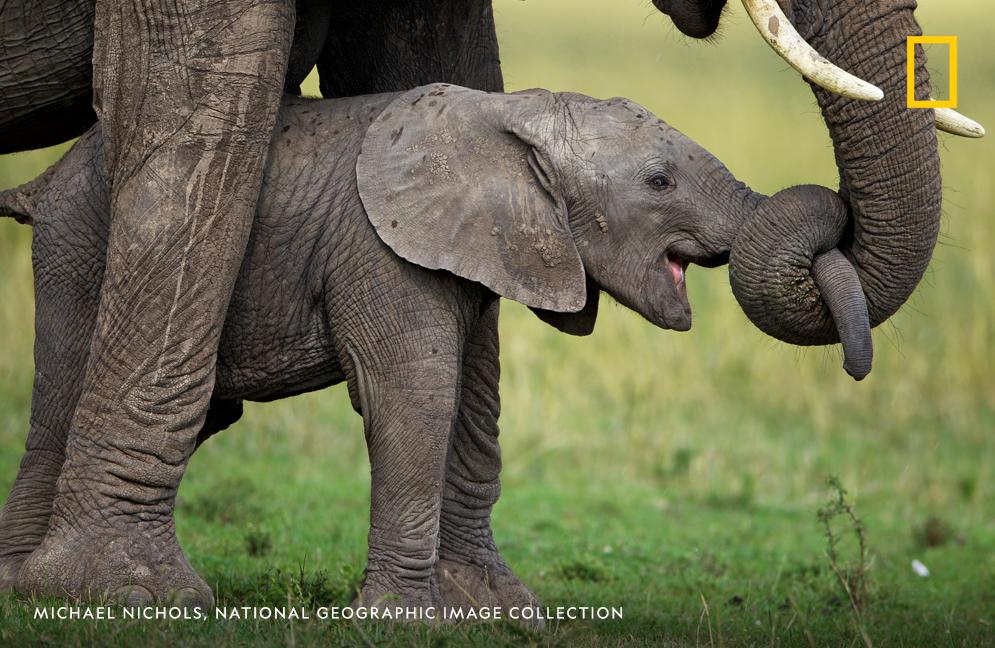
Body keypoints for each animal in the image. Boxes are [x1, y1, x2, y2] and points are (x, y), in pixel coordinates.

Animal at [0, 0, 983, 610]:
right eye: (658, 183)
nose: (835, 223)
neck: (520, 130)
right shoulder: (374, 250)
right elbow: (412, 389)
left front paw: (487, 610)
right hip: (76, 244)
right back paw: (71, 594)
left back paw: (21, 586)